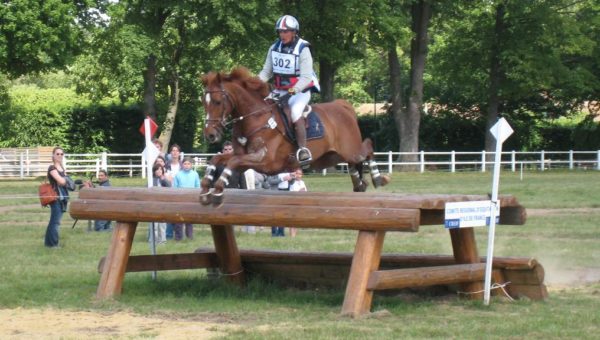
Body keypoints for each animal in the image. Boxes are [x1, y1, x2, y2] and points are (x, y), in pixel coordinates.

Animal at [199, 67, 392, 203]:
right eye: (203, 102)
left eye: (217, 102)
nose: (210, 135)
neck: (255, 118)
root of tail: (343, 106)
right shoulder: (243, 156)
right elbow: (218, 159)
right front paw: (205, 188)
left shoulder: (265, 161)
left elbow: (232, 162)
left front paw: (217, 189)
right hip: (331, 157)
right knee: (354, 165)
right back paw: (359, 183)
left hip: (350, 150)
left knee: (367, 147)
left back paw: (378, 178)